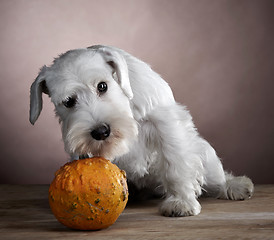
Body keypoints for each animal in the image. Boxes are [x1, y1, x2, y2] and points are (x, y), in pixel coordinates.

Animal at [28, 44, 254, 217]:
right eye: (68, 101)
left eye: (102, 86)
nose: (101, 132)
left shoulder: (165, 123)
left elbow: (176, 164)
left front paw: (181, 202)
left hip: (206, 157)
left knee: (218, 177)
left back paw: (236, 186)